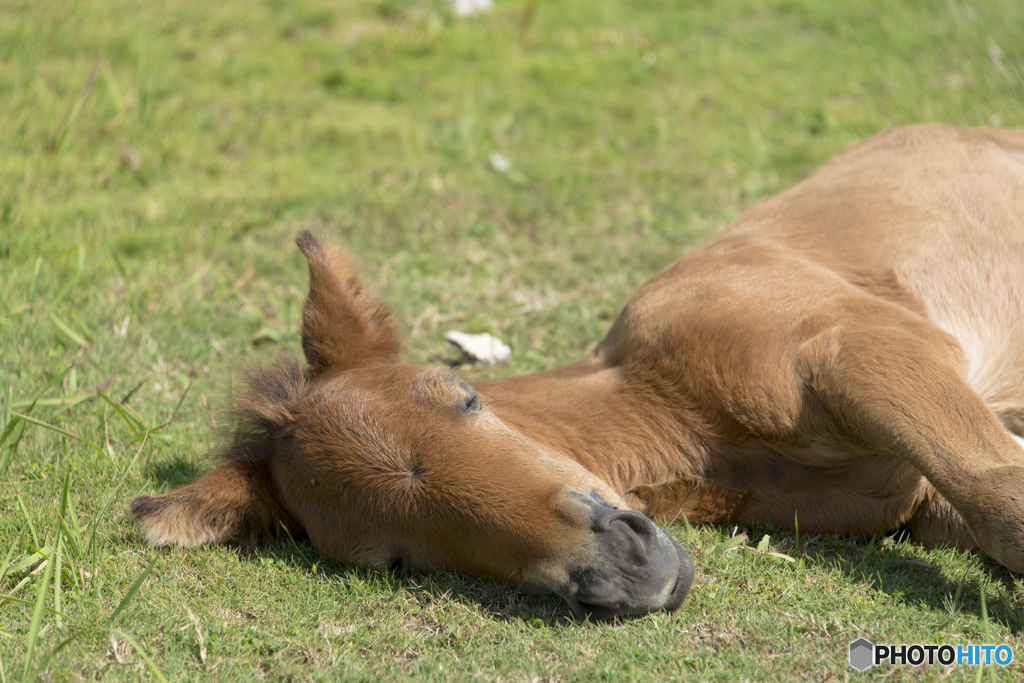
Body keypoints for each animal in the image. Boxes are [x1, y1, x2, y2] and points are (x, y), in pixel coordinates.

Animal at [130, 125, 1024, 622]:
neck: (706, 436)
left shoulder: (862, 349)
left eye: (467, 398)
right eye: (396, 559)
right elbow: (993, 509)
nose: (626, 574)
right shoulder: (914, 492)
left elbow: (1002, 500)